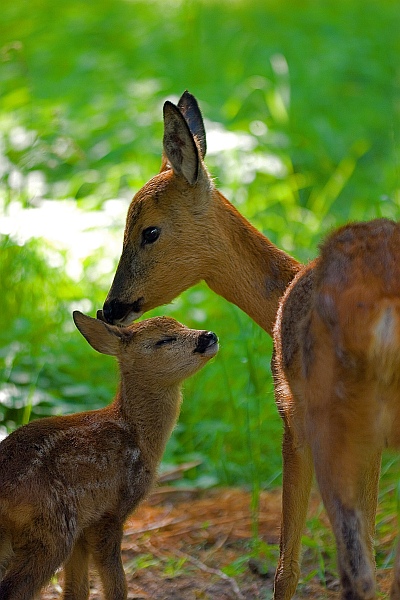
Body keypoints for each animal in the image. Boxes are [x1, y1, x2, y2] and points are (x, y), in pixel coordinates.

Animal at [0, 312, 219, 596]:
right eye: (163, 340)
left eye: (182, 324)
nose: (209, 336)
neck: (138, 435)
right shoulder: (112, 512)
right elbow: (116, 585)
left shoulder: (84, 526)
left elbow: (76, 591)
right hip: (52, 529)